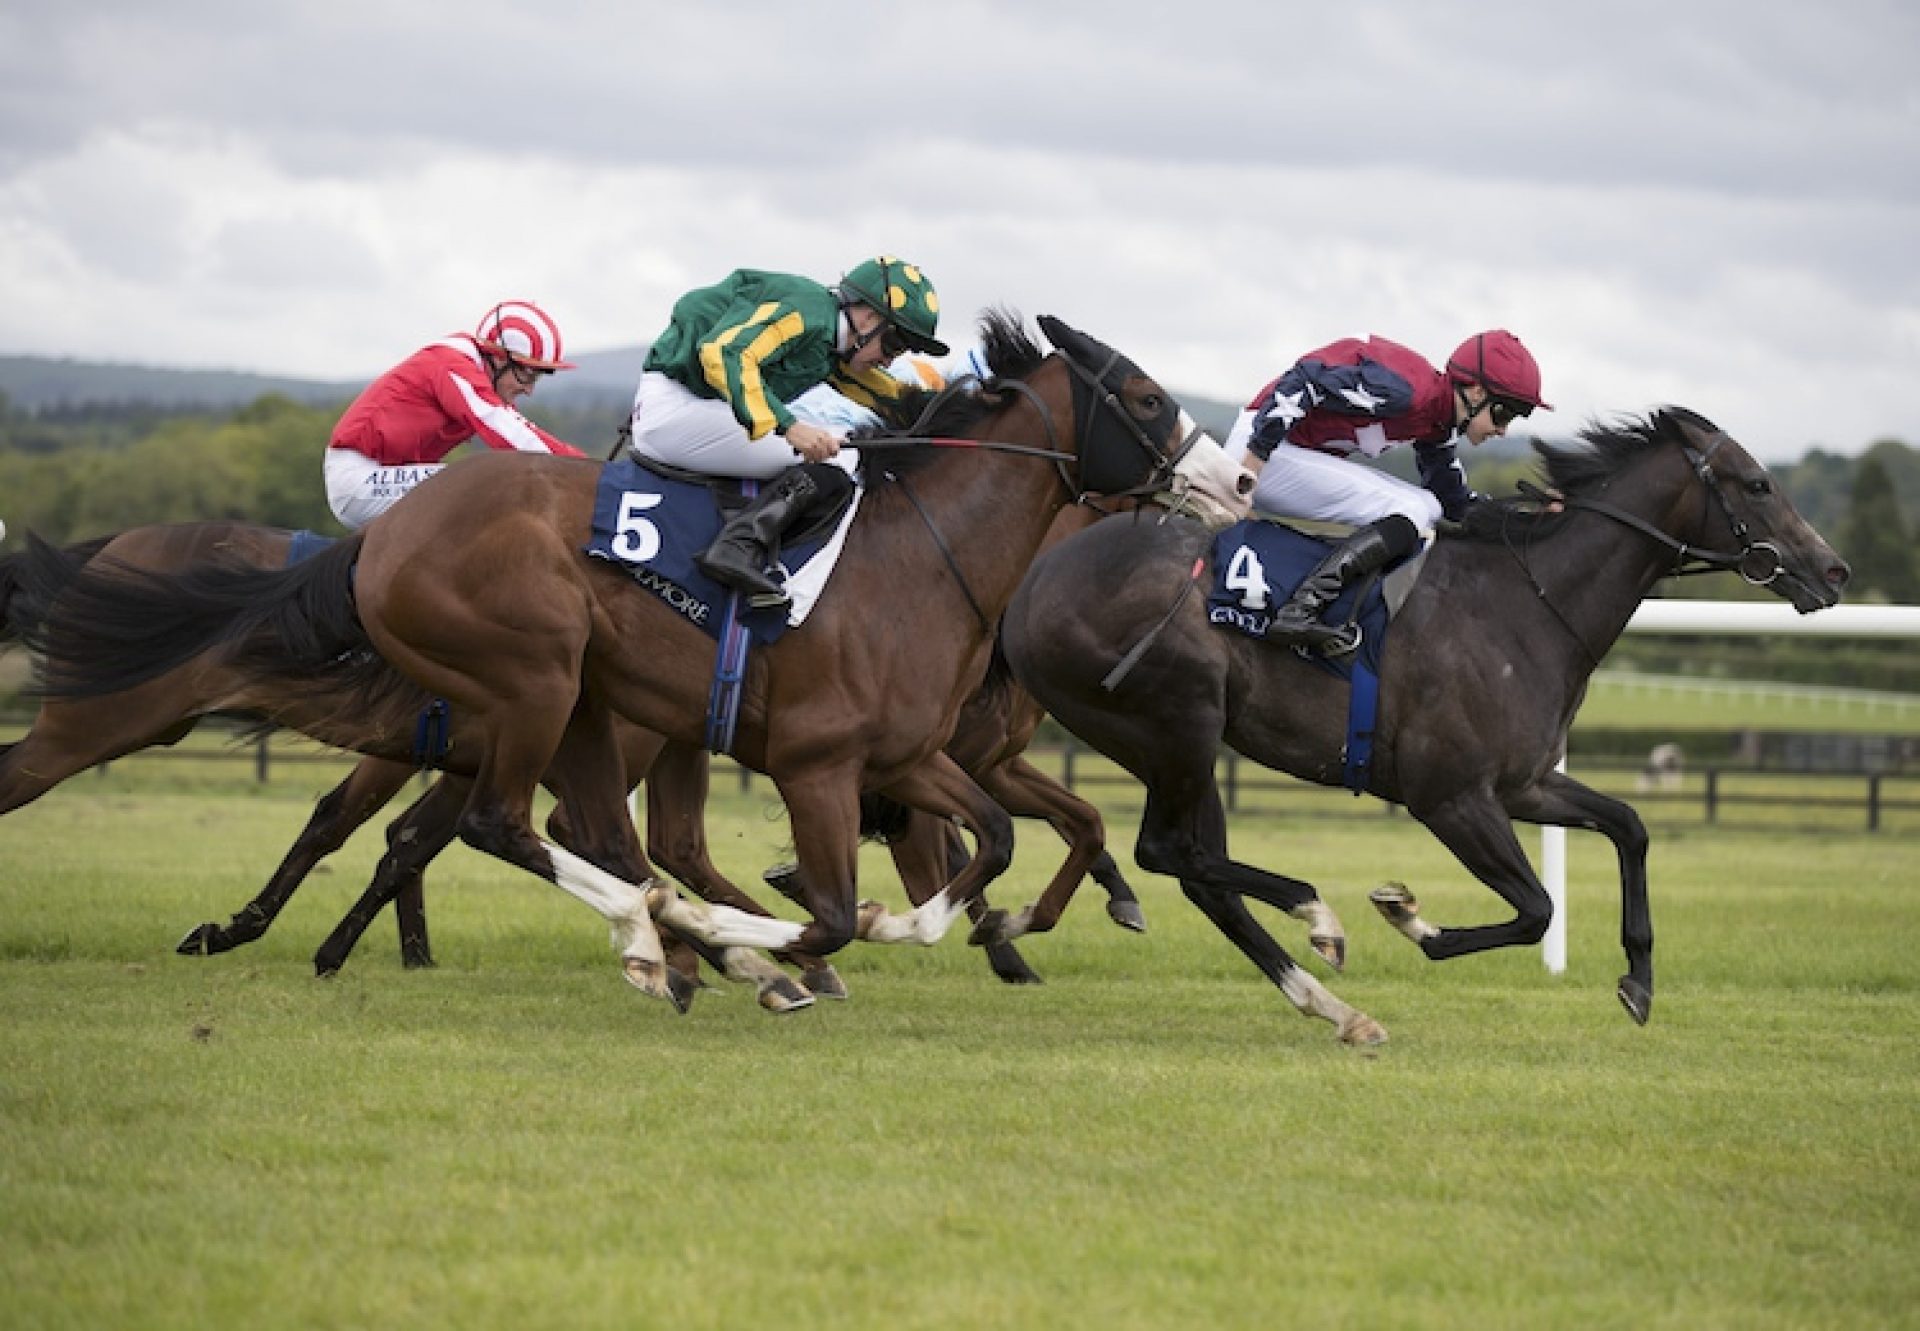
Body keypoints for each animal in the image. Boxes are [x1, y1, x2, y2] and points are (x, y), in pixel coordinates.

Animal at [15, 309, 1190, 998]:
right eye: (1143, 399)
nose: (1218, 483)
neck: (916, 556)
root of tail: (376, 542)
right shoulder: (820, 764)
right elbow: (836, 904)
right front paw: (804, 946)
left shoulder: (910, 755)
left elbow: (992, 841)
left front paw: (994, 927)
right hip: (528, 684)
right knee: (502, 827)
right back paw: (660, 937)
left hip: (568, 709)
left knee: (498, 831)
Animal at [998, 405, 1850, 1037]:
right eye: (1758, 483)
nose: (1834, 569)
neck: (1526, 604)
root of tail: (1029, 588)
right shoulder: (1450, 797)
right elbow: (1536, 909)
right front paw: (1411, 917)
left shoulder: (1525, 784)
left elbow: (1630, 827)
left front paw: (1638, 977)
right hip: (1180, 722)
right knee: (1167, 850)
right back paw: (1318, 915)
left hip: (1186, 746)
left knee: (1199, 869)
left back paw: (1331, 1004)